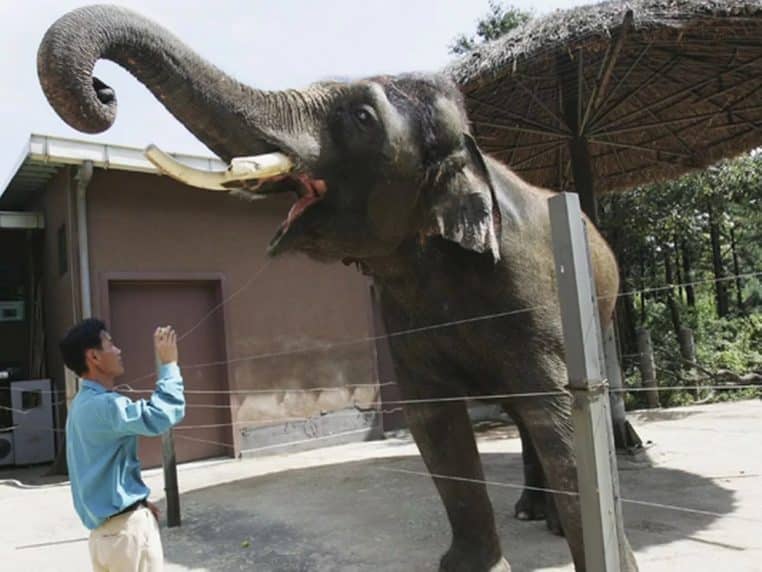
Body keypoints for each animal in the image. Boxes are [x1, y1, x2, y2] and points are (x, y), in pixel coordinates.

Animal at [37, 6, 638, 571]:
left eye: (362, 117)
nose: (104, 91)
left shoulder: (533, 292)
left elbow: (560, 417)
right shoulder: (405, 314)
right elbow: (433, 420)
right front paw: (473, 566)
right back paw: (531, 512)